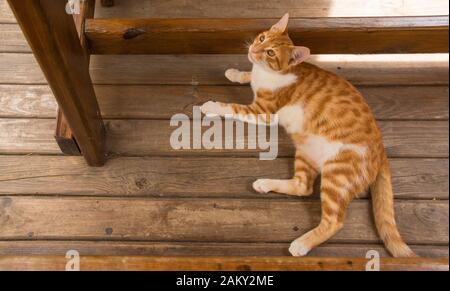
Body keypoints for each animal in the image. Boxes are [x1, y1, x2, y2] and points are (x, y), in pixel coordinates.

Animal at [202, 13, 416, 258]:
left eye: (270, 53)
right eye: (262, 38)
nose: (254, 49)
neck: (269, 73)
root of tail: (381, 150)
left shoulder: (263, 112)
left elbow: (232, 107)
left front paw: (212, 105)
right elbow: (247, 75)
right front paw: (236, 73)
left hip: (337, 175)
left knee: (334, 221)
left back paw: (301, 244)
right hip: (305, 152)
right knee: (303, 187)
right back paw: (264, 184)